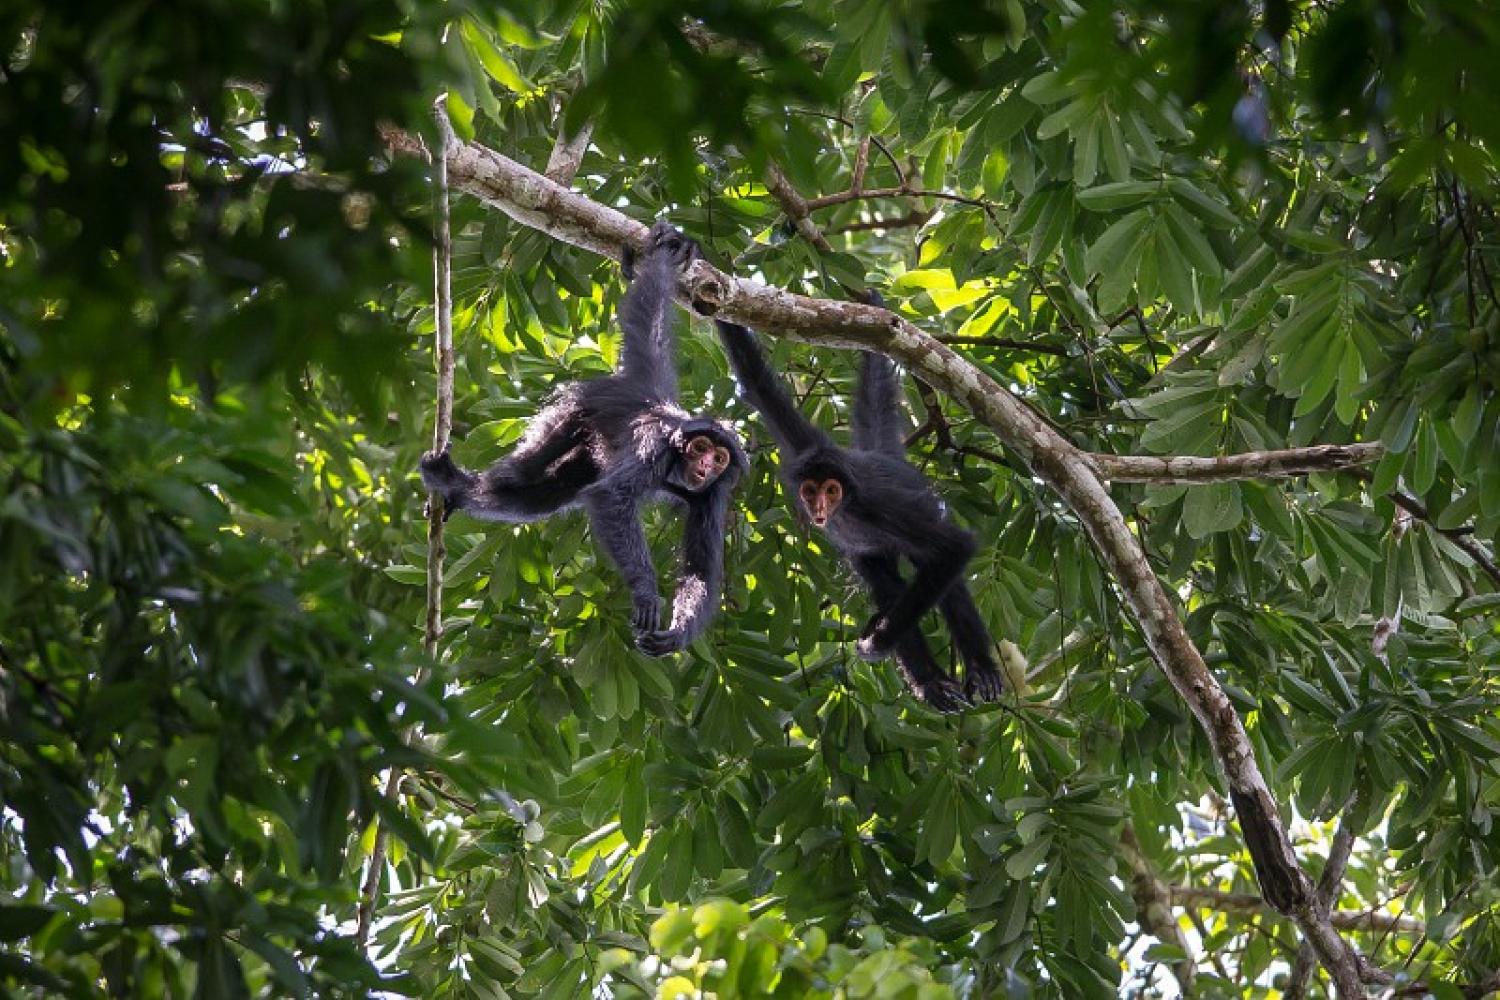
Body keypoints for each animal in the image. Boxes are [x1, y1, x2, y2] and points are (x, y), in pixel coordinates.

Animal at [420, 220, 747, 656]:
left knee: (542, 494)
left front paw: (677, 632)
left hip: (587, 454)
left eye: (719, 459)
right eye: (701, 448)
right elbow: (611, 497)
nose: (706, 464)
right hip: (572, 411)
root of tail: (645, 393)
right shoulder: (655, 450)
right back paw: (452, 485)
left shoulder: (713, 494)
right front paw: (646, 593)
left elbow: (700, 570)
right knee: (522, 475)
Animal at [714, 301, 1008, 716]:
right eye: (811, 490)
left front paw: (879, 643)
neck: (847, 508)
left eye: (832, 490)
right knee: (888, 583)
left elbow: (956, 547)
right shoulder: (806, 448)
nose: (820, 506)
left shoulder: (879, 505)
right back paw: (930, 681)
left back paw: (980, 669)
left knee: (941, 576)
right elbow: (757, 382)